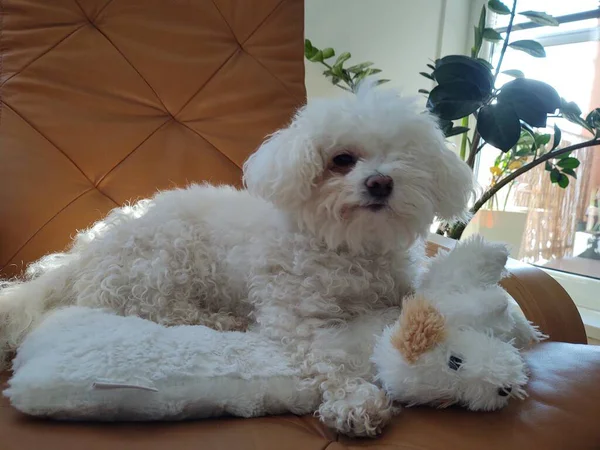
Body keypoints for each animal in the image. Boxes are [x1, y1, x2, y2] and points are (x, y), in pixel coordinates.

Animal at [0, 83, 474, 436]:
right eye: (342, 159)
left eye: (405, 159)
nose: (381, 183)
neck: (350, 246)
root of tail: (83, 253)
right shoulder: (294, 320)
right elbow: (328, 358)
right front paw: (355, 403)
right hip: (162, 261)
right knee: (155, 308)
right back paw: (224, 319)